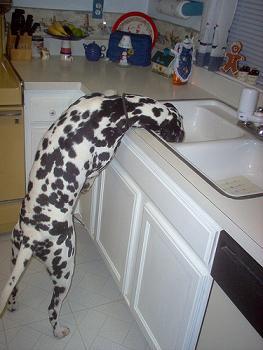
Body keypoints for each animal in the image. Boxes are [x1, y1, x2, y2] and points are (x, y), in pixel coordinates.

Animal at [0, 91, 185, 338]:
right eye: (179, 127)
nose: (184, 136)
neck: (114, 108)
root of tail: (31, 237)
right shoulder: (104, 159)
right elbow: (93, 174)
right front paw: (87, 185)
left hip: (15, 258)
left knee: (14, 289)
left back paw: (12, 305)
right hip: (65, 268)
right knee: (52, 309)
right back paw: (59, 331)